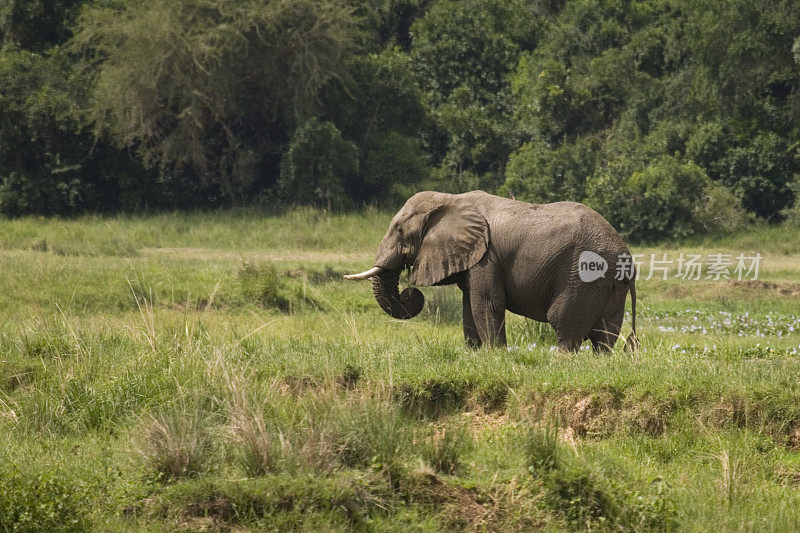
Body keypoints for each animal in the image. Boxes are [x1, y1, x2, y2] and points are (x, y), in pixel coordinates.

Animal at [344, 189, 636, 352]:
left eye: (399, 230)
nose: (408, 292)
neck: (452, 200)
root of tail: (625, 256)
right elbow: (468, 305)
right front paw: (474, 354)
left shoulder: (487, 258)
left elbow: (485, 302)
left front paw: (494, 355)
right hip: (607, 284)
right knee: (605, 335)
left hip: (583, 275)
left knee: (564, 322)